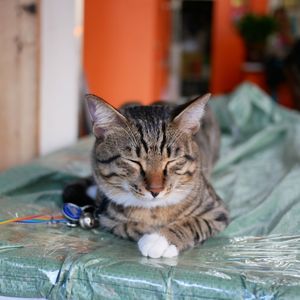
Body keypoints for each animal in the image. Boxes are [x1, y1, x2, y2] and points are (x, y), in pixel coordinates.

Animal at [83, 94, 229, 258]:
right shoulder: (108, 218)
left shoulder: (217, 210)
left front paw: (161, 239)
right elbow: (128, 226)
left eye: (172, 160)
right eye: (133, 161)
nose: (155, 190)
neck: (153, 210)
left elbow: (194, 222)